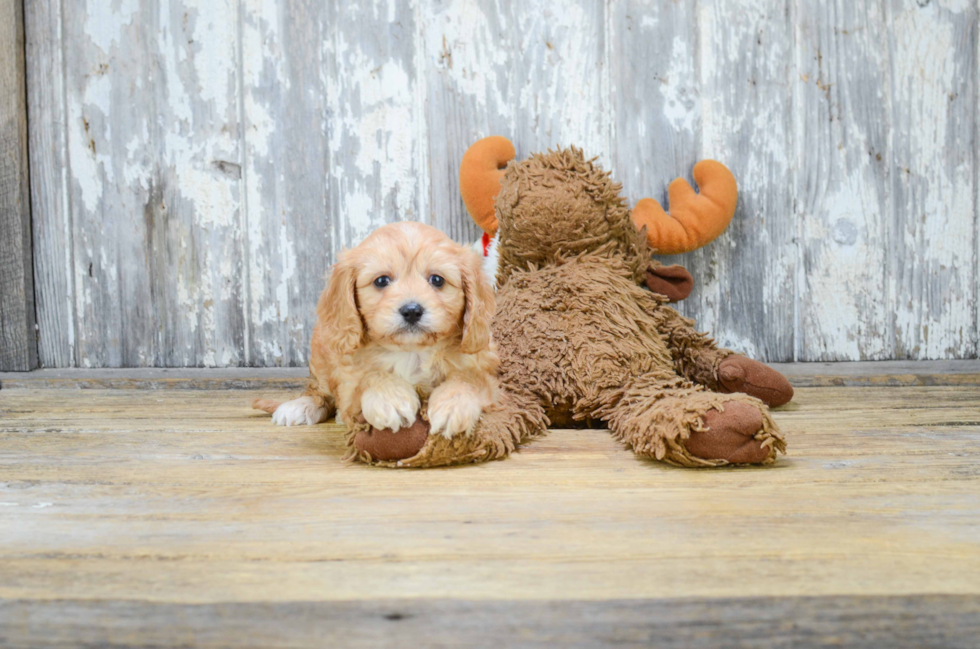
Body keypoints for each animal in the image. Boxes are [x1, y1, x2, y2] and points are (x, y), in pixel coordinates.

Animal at [253, 221, 498, 440]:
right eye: (381, 281)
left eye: (437, 280)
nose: (412, 311)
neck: (412, 352)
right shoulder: (349, 388)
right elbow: (370, 377)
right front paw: (391, 399)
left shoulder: (490, 378)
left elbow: (469, 378)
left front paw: (453, 406)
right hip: (321, 356)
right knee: (319, 391)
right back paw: (299, 407)